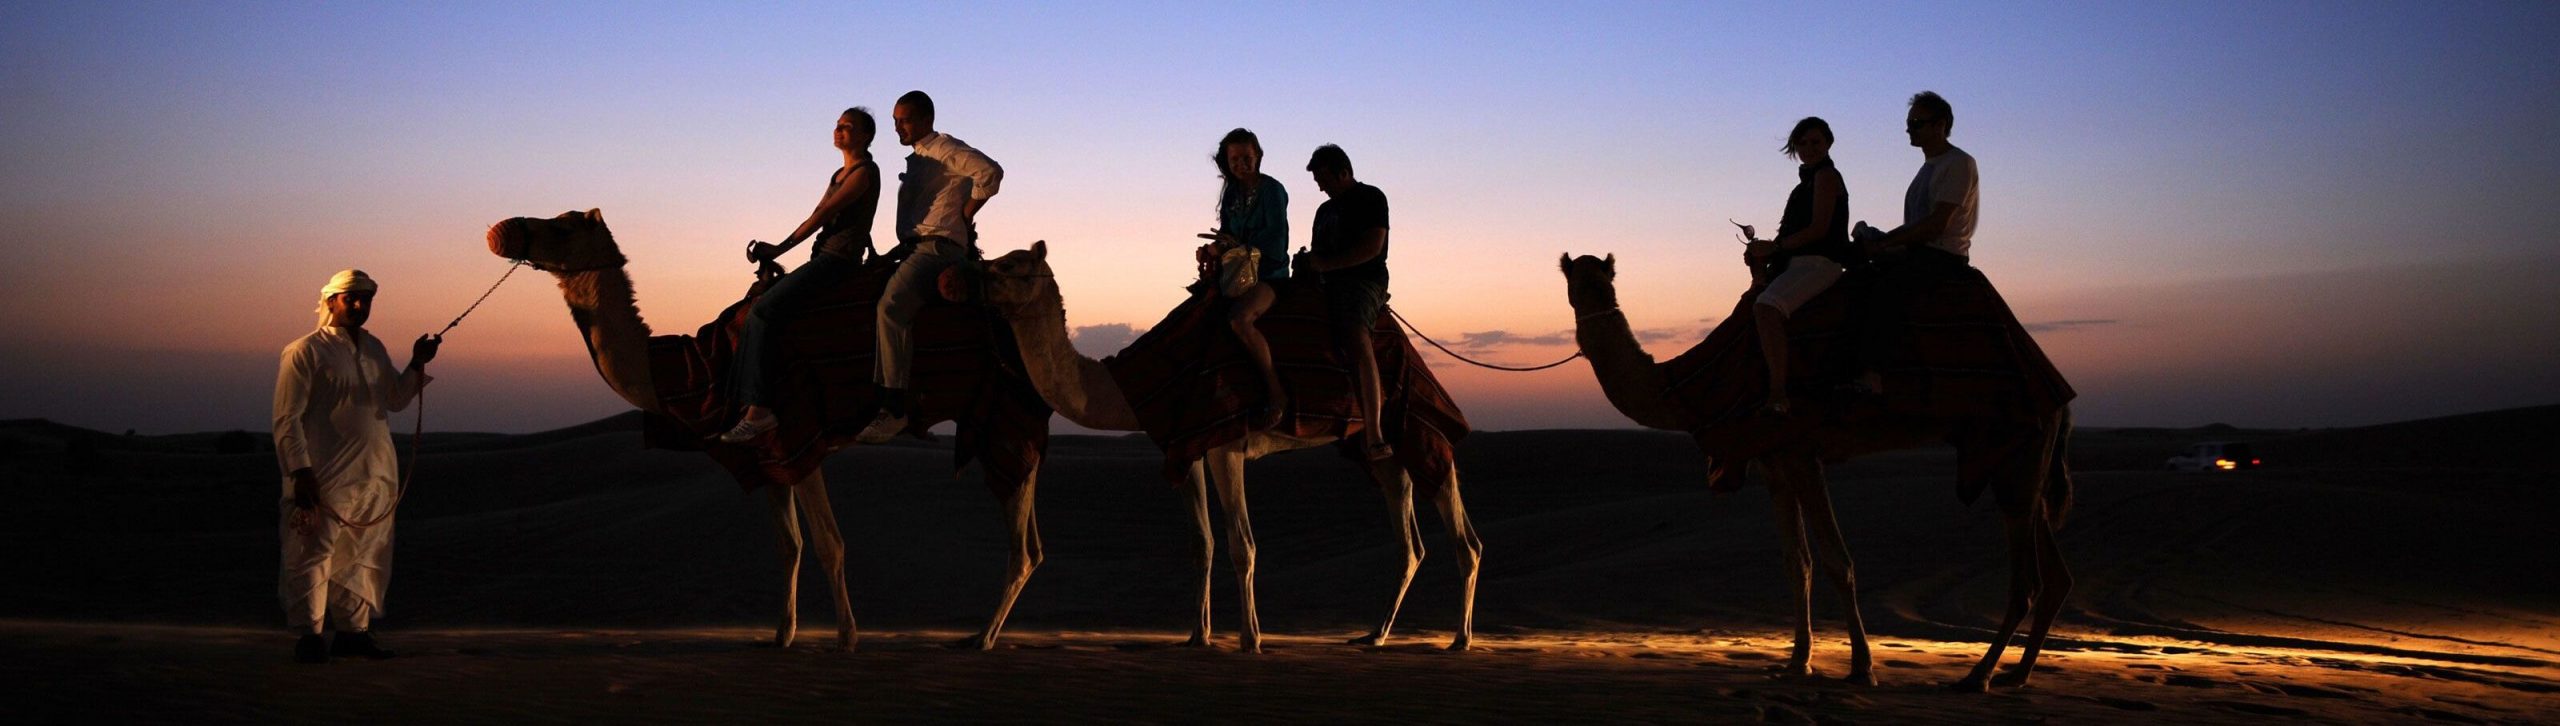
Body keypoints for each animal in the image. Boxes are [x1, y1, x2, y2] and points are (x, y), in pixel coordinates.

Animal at [481, 209, 1049, 651]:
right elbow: (788, 544)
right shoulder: (768, 453)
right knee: (1034, 543)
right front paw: (782, 636)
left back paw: (983, 639)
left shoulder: (800, 434)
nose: (504, 229)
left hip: (1003, 418)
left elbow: (828, 543)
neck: (703, 369)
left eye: (561, 227)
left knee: (1022, 545)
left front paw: (847, 639)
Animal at [972, 242, 1495, 651]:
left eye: (1015, 266)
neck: (1139, 389)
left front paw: (1250, 639)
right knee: (1410, 539)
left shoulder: (1227, 445)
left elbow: (1242, 545)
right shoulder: (1188, 447)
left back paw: (1460, 639)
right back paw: (1376, 635)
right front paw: (1197, 636)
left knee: (1462, 530)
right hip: (1375, 448)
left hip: (1415, 425)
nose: (979, 270)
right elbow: (1201, 543)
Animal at [1546, 255, 2068, 690]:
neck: (1695, 386)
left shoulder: (1801, 452)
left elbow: (1838, 560)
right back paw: (2017, 675)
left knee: (2027, 581)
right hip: (2026, 459)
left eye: (1598, 279)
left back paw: (1978, 676)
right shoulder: (1774, 463)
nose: (1594, 302)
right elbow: (1797, 562)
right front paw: (1797, 662)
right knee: (2054, 573)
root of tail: (2052, 377)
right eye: (1578, 280)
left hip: (2016, 446)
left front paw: (1861, 667)